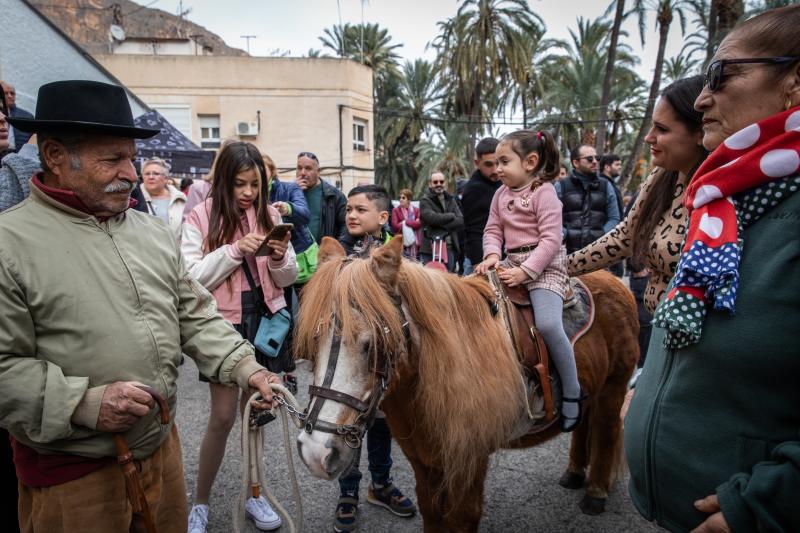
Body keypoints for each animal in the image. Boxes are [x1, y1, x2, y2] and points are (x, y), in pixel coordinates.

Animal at [294, 238, 636, 532]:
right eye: (314, 340)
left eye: (372, 344)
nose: (316, 452)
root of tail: (614, 280)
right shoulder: (423, 459)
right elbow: (432, 512)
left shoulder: (470, 461)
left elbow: (462, 518)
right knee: (583, 423)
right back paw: (575, 473)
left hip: (614, 388)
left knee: (606, 430)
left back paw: (595, 493)